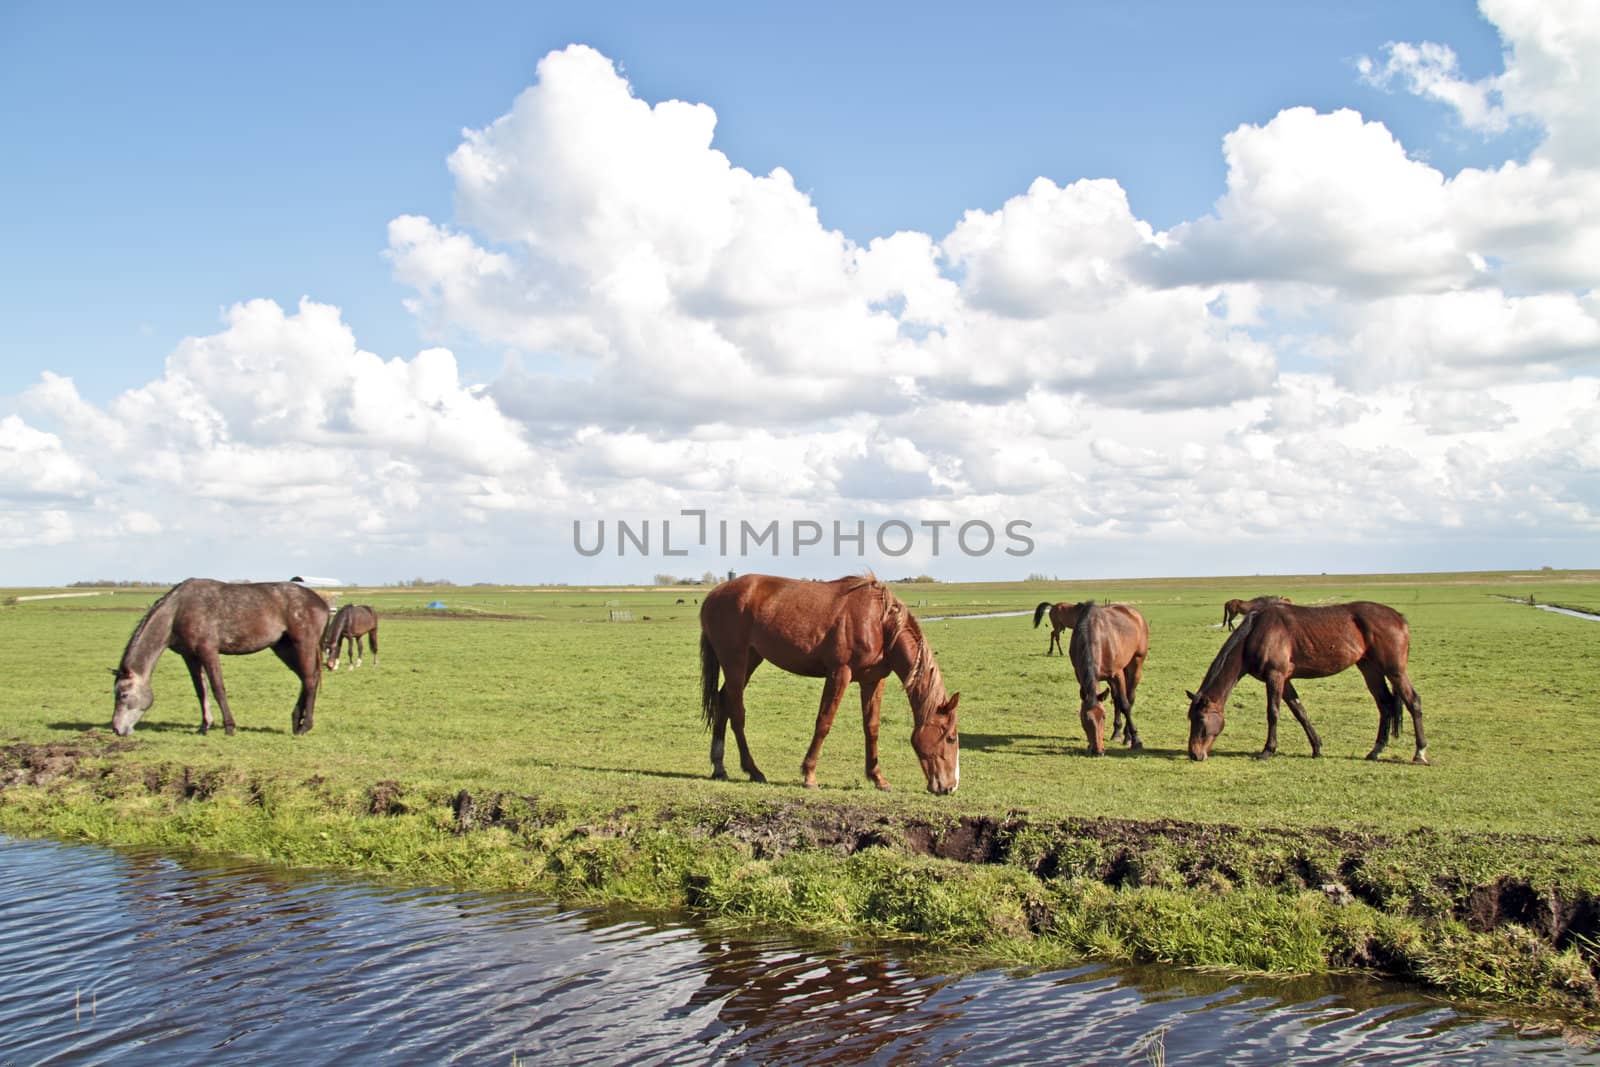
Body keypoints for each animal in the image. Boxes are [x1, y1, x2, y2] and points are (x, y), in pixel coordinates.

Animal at [111, 579, 329, 739]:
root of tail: (322, 603)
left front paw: (229, 726)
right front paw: (204, 726)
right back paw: (296, 721)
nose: (116, 728)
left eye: (123, 695)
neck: (178, 611)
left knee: (310, 680)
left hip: (303, 644)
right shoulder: (190, 656)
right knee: (306, 678)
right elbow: (201, 690)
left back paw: (305, 726)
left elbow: (217, 688)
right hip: (283, 647)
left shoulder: (208, 651)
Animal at [700, 575, 960, 793]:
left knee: (722, 702)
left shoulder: (873, 681)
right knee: (737, 713)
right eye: (950, 738)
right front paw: (809, 775)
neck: (879, 623)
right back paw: (753, 770)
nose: (950, 787)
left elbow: (872, 727)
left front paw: (878, 778)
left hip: (751, 659)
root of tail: (713, 595)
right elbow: (824, 722)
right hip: (735, 660)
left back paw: (719, 767)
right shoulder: (839, 674)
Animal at [1062, 601, 1152, 758]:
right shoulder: (1080, 674)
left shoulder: (1117, 674)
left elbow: (1125, 705)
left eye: (1103, 717)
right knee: (1116, 698)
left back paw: (1127, 736)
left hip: (1136, 664)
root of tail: (1136, 614)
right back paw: (1116, 733)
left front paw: (1136, 740)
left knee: (1129, 698)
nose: (1098, 751)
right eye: (1085, 718)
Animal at [1184, 601, 1433, 767]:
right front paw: (1317, 747)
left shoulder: (1275, 676)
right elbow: (1300, 711)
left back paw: (1420, 753)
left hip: (1395, 671)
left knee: (1413, 701)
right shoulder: (1285, 680)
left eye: (1201, 721)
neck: (1256, 633)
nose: (1194, 754)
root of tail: (1399, 617)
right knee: (1385, 704)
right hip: (1369, 668)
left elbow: (1273, 713)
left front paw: (1267, 750)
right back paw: (1376, 750)